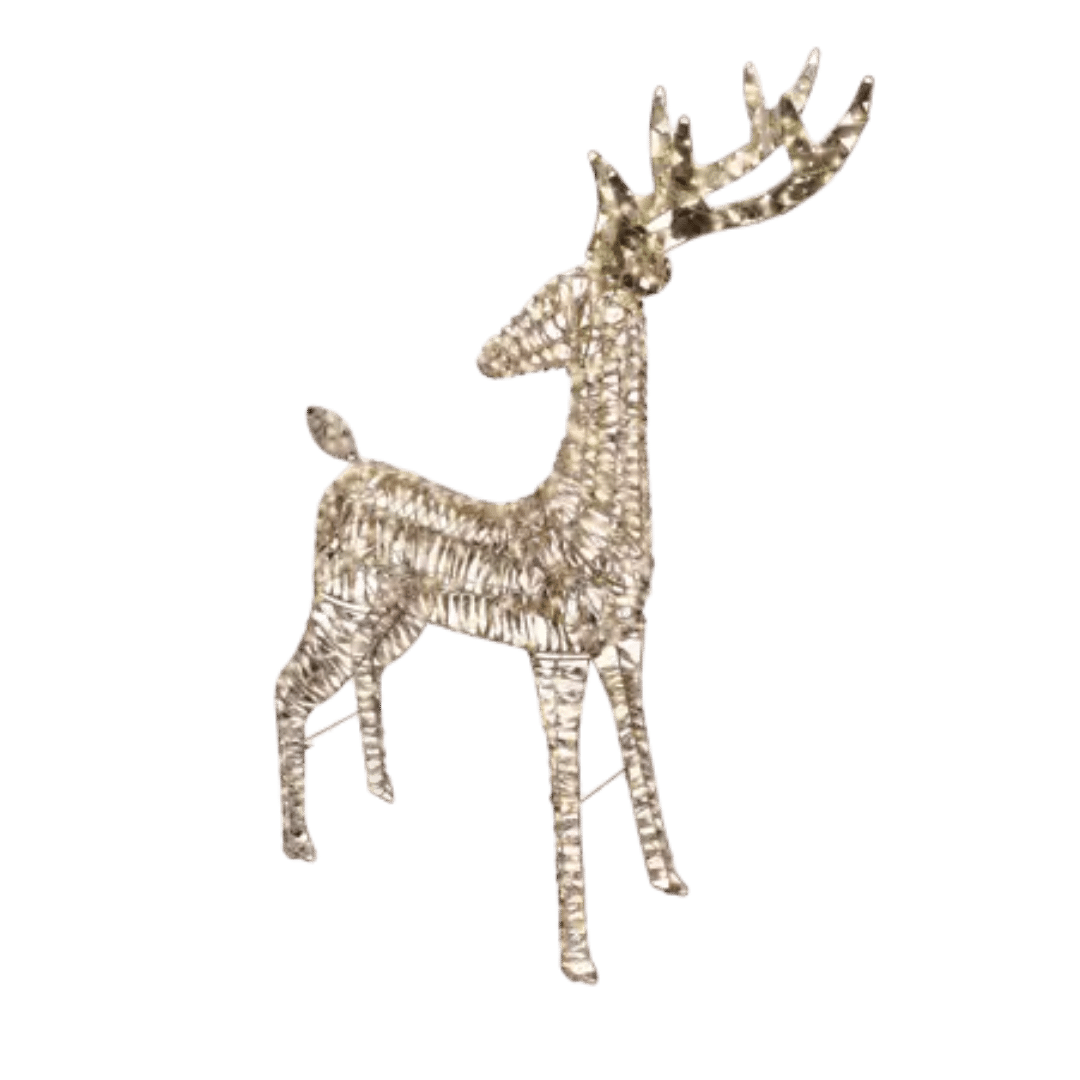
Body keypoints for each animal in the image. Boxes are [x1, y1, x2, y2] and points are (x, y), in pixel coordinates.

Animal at [273, 47, 876, 986]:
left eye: (555, 295)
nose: (486, 356)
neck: (585, 516)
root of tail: (346, 462)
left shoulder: (625, 640)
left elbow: (638, 755)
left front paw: (670, 882)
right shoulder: (553, 651)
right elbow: (567, 788)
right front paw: (580, 960)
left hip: (394, 618)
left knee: (358, 680)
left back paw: (383, 792)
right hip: (338, 600)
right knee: (285, 687)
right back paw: (299, 845)